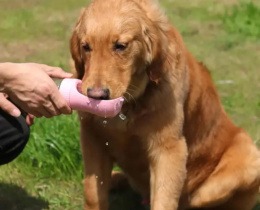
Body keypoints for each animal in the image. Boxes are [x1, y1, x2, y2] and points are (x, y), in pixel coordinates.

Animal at [69, 0, 260, 209]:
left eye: (121, 46)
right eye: (86, 47)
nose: (96, 96)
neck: (129, 106)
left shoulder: (169, 149)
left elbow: (164, 198)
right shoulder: (92, 139)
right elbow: (92, 192)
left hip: (246, 157)